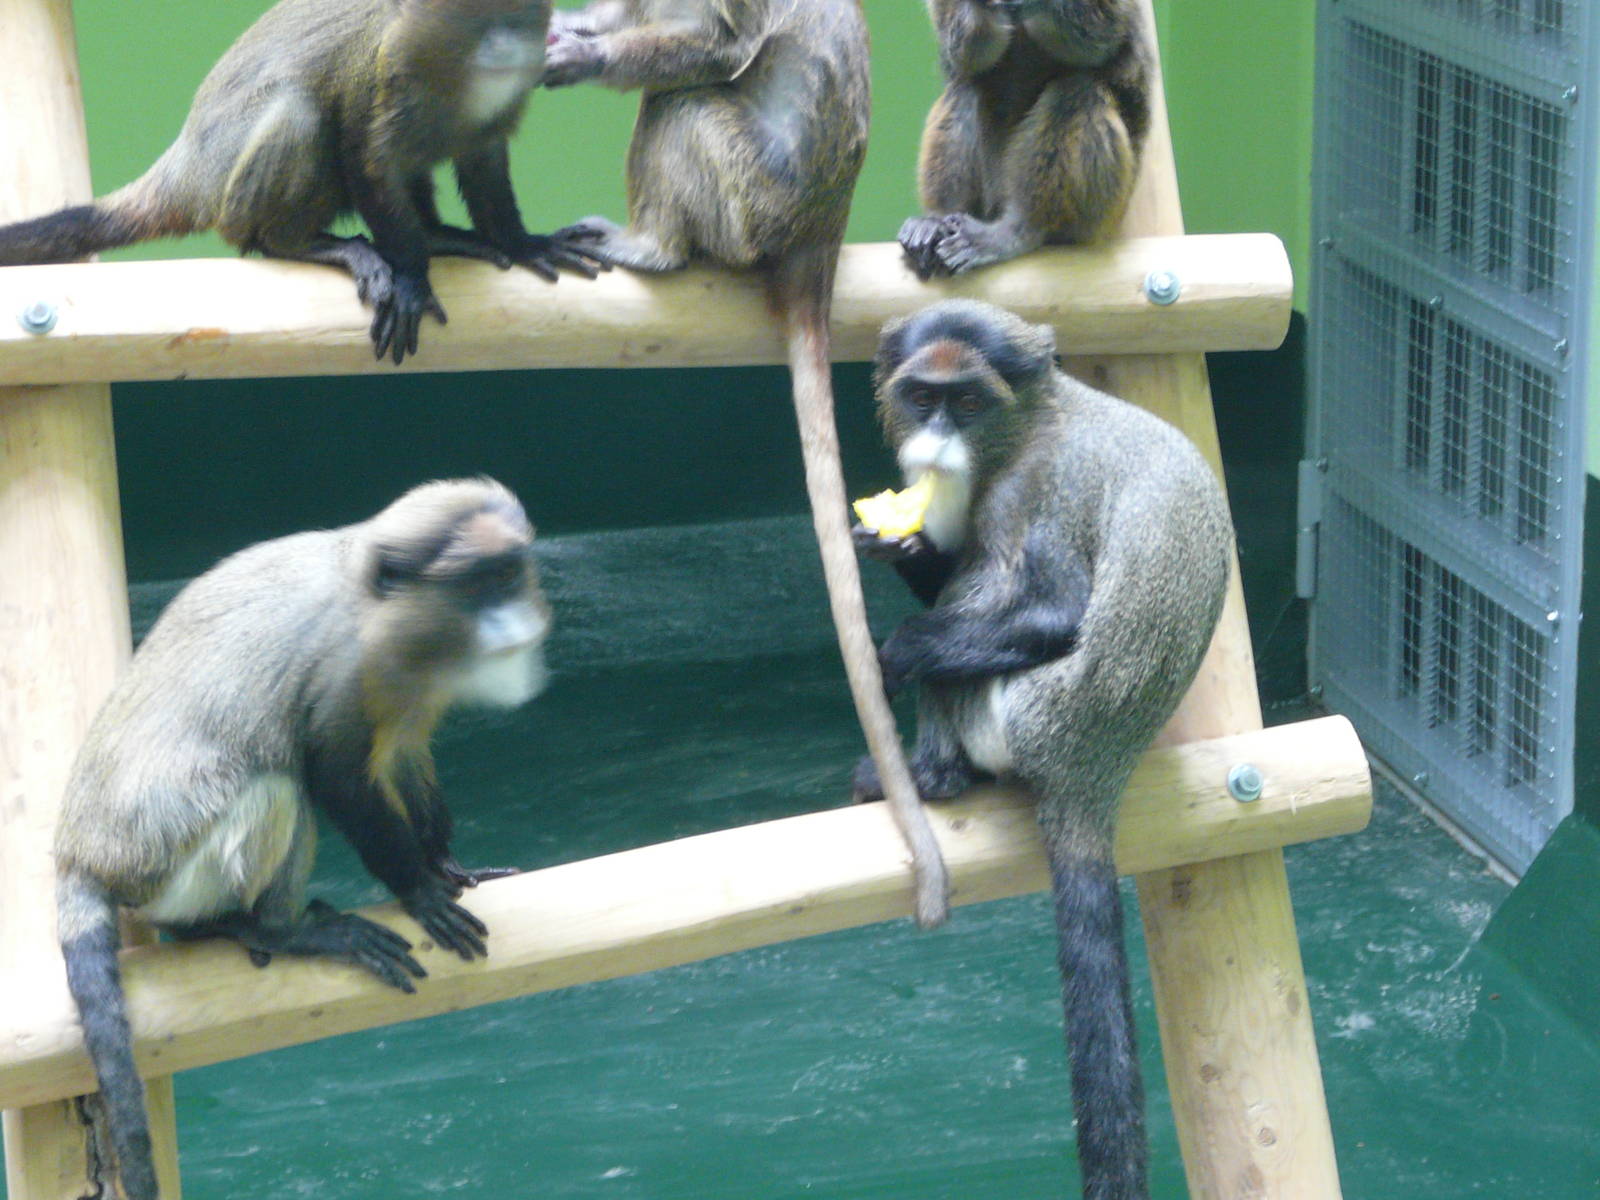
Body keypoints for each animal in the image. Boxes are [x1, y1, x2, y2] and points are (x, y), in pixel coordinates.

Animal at [0, 0, 603, 364]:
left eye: (516, 17)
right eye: (472, 20)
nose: (504, 47)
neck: (457, 78)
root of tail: (190, 165)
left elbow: (483, 163)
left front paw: (521, 242)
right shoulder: (379, 65)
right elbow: (366, 158)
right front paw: (411, 274)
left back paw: (437, 234)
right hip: (235, 190)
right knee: (300, 115)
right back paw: (301, 243)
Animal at [53, 477, 551, 1200]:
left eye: (512, 572)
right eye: (483, 581)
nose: (516, 619)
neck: (378, 602)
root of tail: (80, 855)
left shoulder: (405, 700)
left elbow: (404, 759)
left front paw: (447, 864)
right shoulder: (346, 671)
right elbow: (336, 779)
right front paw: (419, 889)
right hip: (167, 863)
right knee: (277, 788)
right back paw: (277, 930)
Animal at [540, 0, 953, 926]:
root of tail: (819, 237)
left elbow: (717, 45)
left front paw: (586, 57)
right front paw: (580, 27)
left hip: (750, 206)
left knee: (685, 100)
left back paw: (655, 246)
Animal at [853, 301, 1233, 1199]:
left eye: (967, 402)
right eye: (922, 398)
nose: (934, 442)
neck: (1032, 419)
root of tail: (1094, 764)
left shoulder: (1036, 490)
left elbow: (1056, 611)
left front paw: (895, 652)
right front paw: (902, 545)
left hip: (1016, 715)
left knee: (980, 600)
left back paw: (932, 774)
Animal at [898, 0, 1152, 279]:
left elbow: (1101, 40)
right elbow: (966, 55)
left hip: (1105, 210)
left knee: (1078, 91)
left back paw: (1022, 228)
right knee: (965, 86)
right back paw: (938, 219)